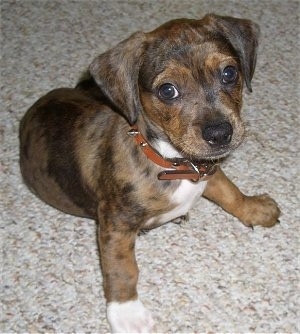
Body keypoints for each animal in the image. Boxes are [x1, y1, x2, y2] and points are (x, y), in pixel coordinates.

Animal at [19, 13, 280, 334]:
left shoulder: (207, 167)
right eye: (167, 90)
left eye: (229, 73)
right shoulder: (115, 225)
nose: (220, 133)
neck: (171, 161)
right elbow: (123, 269)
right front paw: (126, 311)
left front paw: (254, 208)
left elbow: (229, 191)